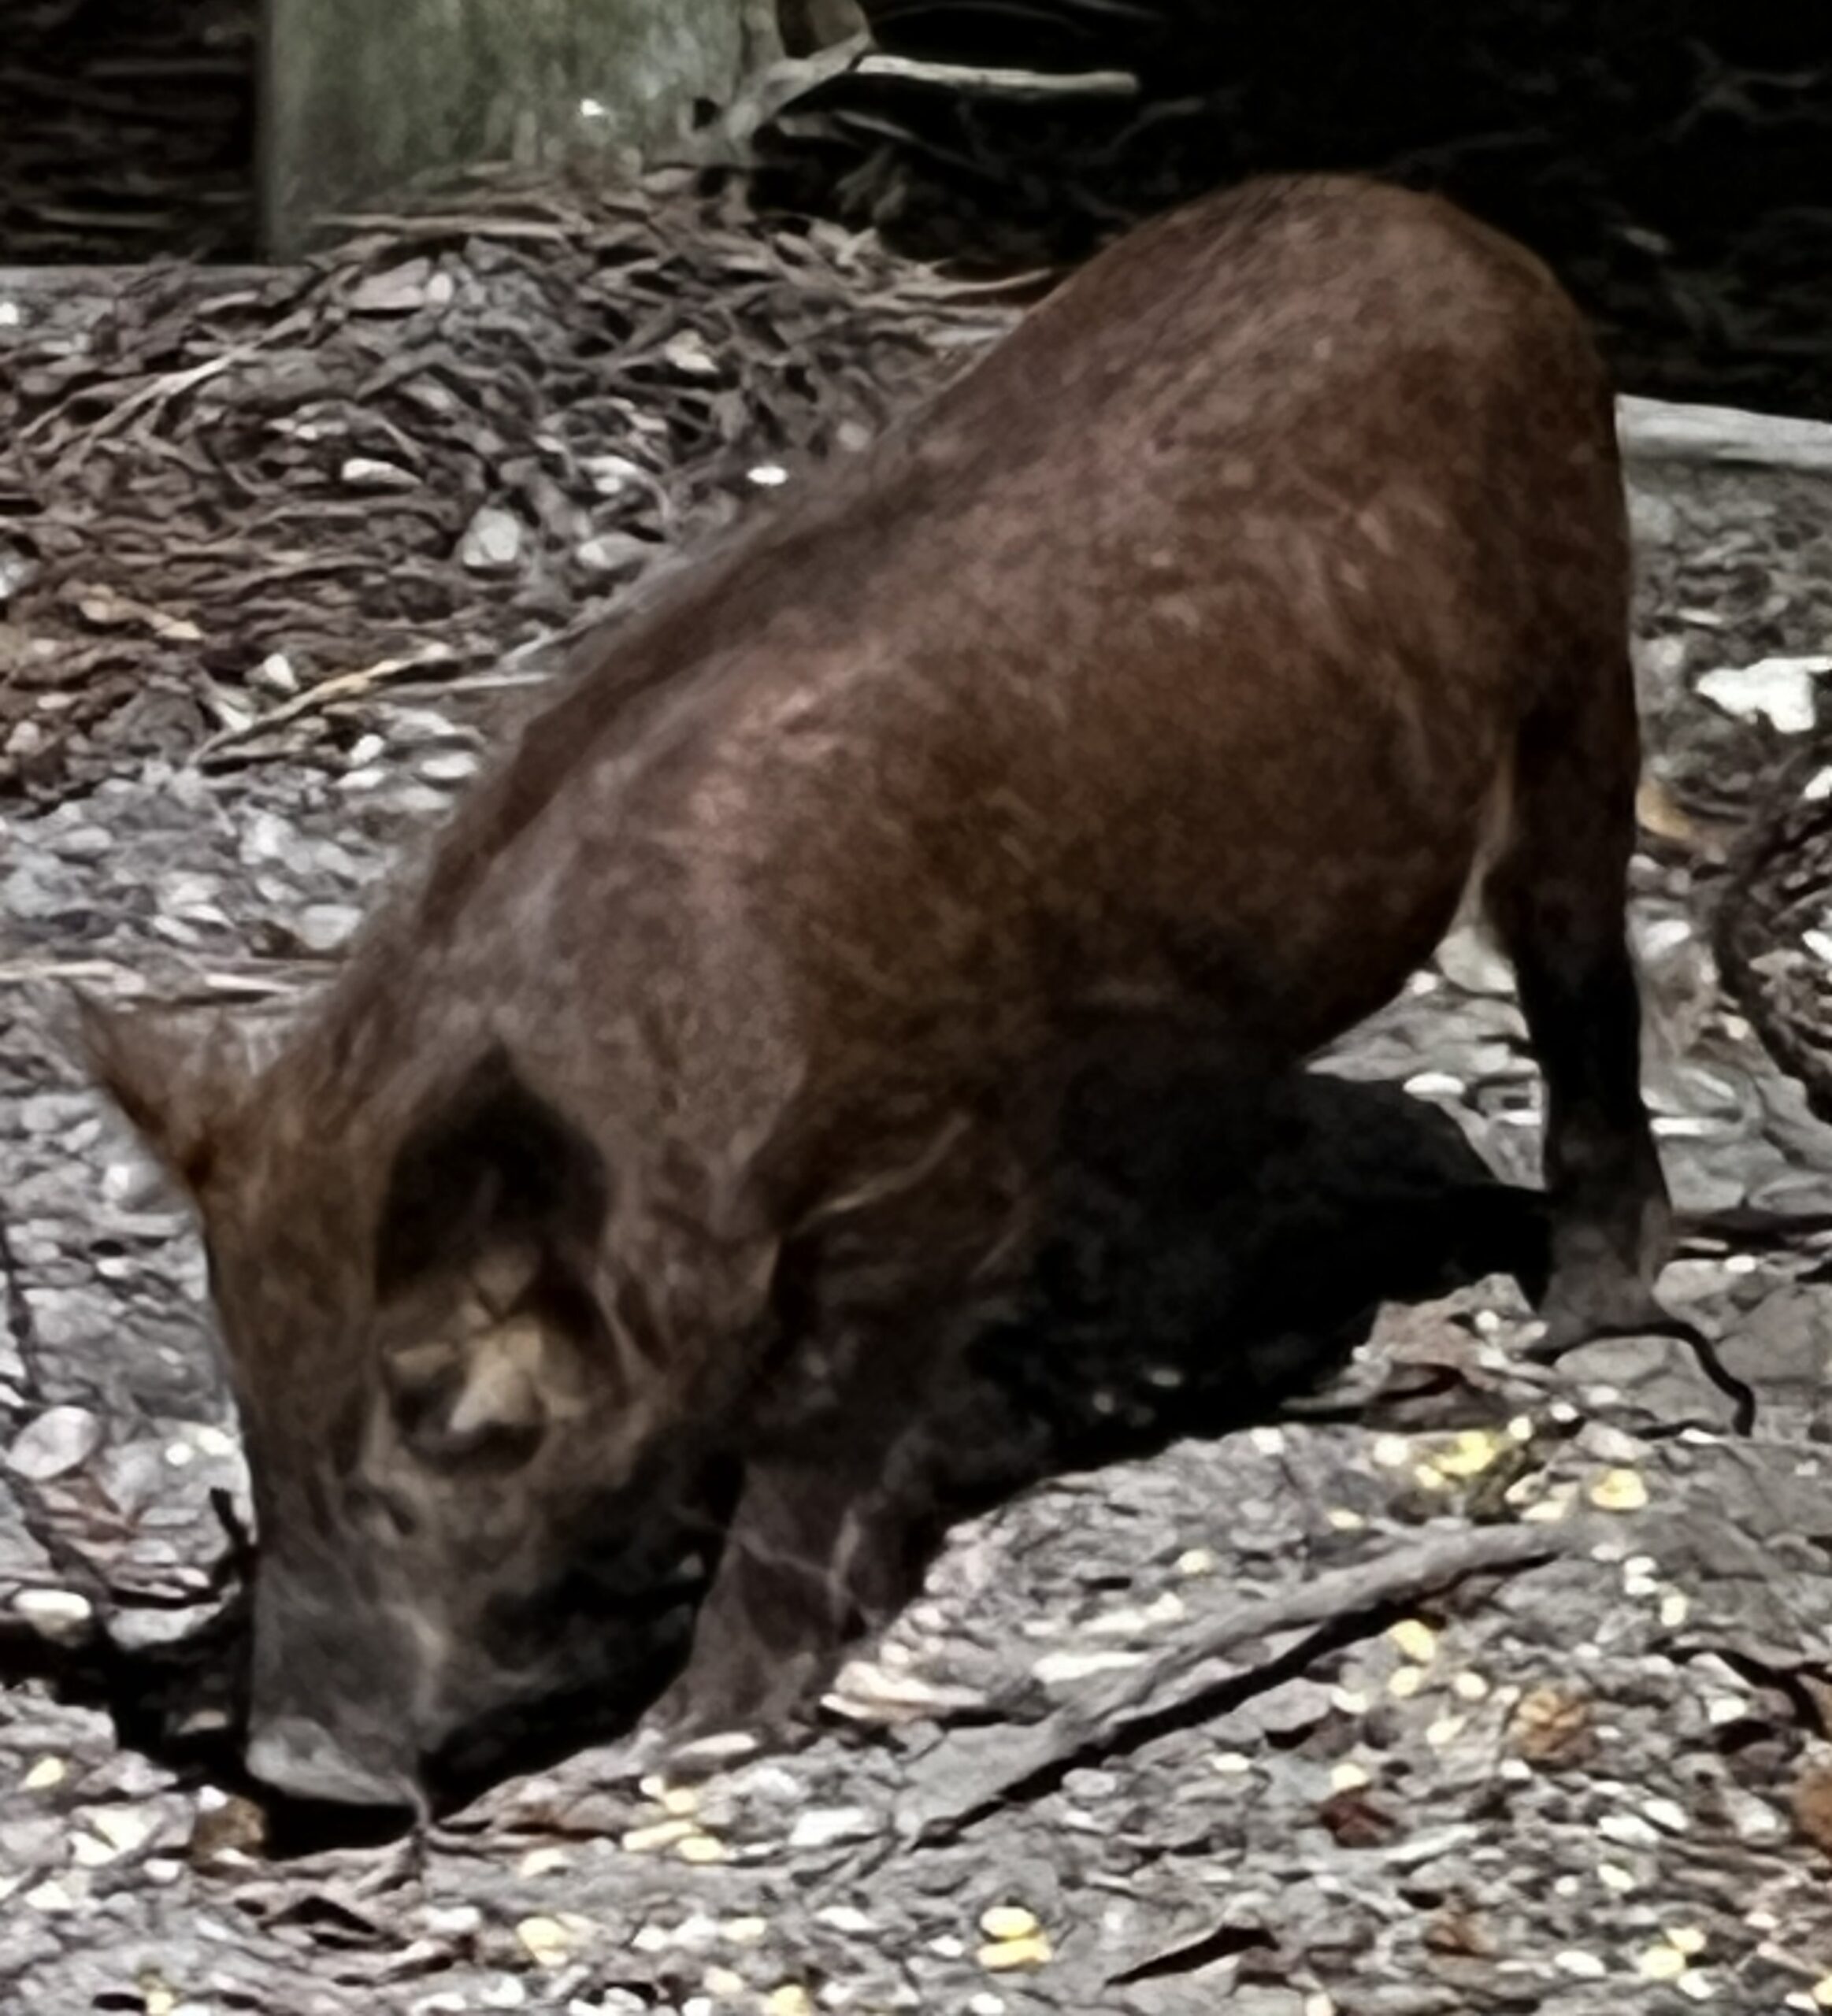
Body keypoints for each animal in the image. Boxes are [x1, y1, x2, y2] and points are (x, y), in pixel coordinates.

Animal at [83, 173, 1673, 1808]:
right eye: (250, 1398)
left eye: (457, 1412)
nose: (301, 1768)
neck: (682, 1056)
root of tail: (1443, 224)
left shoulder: (937, 1166)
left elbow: (811, 1446)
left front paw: (685, 1735)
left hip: (1576, 671)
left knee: (1583, 987)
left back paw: (1585, 1324)